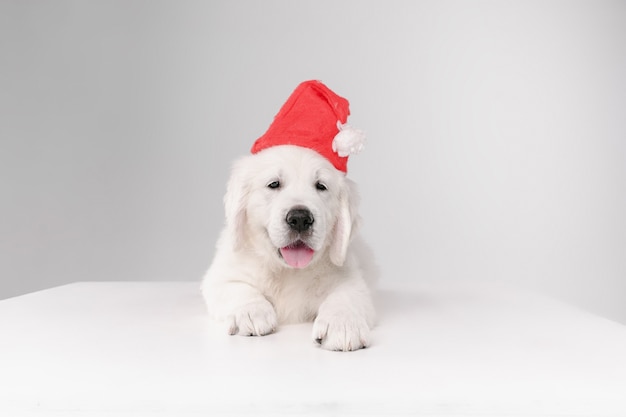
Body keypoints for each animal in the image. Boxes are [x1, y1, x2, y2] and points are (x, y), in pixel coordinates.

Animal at [201, 145, 376, 350]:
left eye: (321, 186)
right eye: (274, 184)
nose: (300, 219)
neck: (289, 271)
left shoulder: (350, 278)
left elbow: (345, 295)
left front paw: (343, 325)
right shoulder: (220, 276)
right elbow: (237, 288)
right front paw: (252, 312)